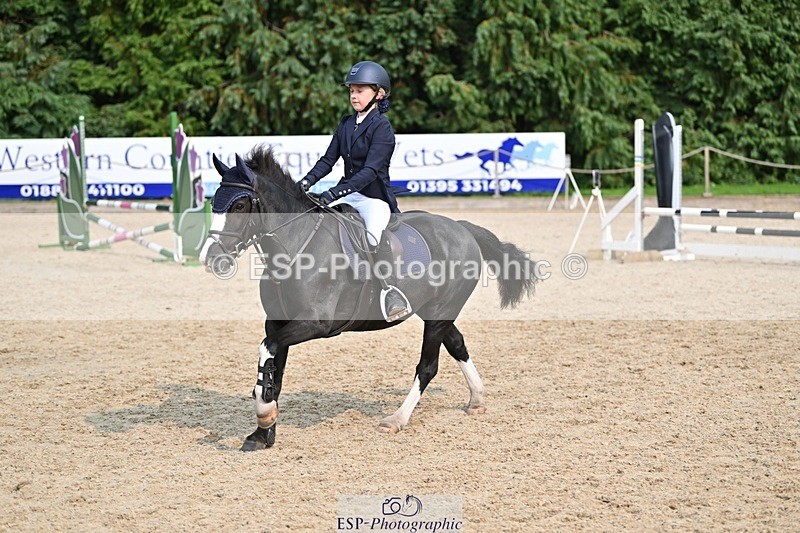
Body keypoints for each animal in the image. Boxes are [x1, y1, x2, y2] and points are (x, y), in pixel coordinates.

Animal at [199, 146, 537, 451]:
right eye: (214, 203)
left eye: (239, 205)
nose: (211, 259)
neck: (296, 245)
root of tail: (462, 229)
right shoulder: (277, 322)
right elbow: (274, 371)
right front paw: (263, 431)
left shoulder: (315, 324)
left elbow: (266, 350)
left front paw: (264, 414)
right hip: (433, 310)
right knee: (457, 344)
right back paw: (476, 400)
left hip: (441, 312)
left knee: (427, 367)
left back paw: (396, 420)